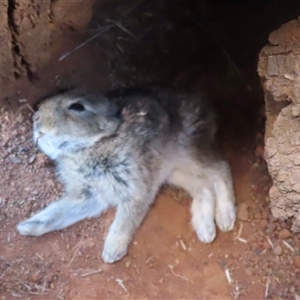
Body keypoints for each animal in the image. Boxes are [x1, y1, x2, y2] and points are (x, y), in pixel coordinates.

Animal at [17, 86, 237, 262]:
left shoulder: (136, 188)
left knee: (221, 168)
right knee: (203, 187)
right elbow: (59, 213)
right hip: (174, 170)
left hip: (187, 152)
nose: (35, 119)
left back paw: (225, 218)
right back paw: (205, 229)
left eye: (77, 107)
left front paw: (111, 252)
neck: (95, 143)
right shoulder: (90, 194)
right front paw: (27, 227)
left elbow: (125, 221)